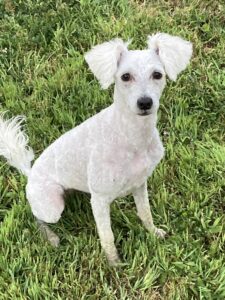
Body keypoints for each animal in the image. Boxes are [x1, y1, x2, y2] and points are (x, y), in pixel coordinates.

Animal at [0, 32, 193, 264]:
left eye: (157, 75)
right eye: (125, 77)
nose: (145, 103)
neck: (130, 136)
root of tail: (29, 173)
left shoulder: (139, 184)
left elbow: (145, 213)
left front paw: (154, 233)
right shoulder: (100, 200)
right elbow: (107, 235)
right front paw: (115, 264)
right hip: (51, 206)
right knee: (37, 217)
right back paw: (52, 237)